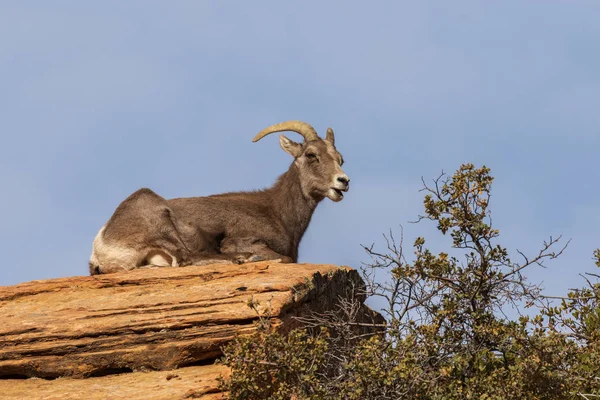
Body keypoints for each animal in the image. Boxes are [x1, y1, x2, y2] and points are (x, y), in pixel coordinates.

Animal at [90, 119, 352, 276]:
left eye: (340, 158)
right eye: (311, 155)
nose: (343, 181)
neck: (277, 213)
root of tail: (101, 245)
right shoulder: (242, 240)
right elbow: (284, 259)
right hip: (158, 216)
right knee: (186, 258)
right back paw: (244, 259)